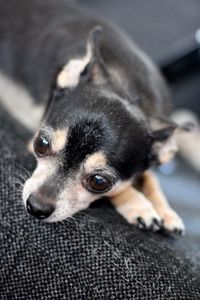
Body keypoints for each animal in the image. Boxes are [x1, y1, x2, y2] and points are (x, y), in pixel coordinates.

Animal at [0, 0, 191, 233]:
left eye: (99, 182)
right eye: (41, 144)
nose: (37, 207)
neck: (128, 90)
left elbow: (150, 176)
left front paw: (167, 212)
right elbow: (128, 186)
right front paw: (138, 204)